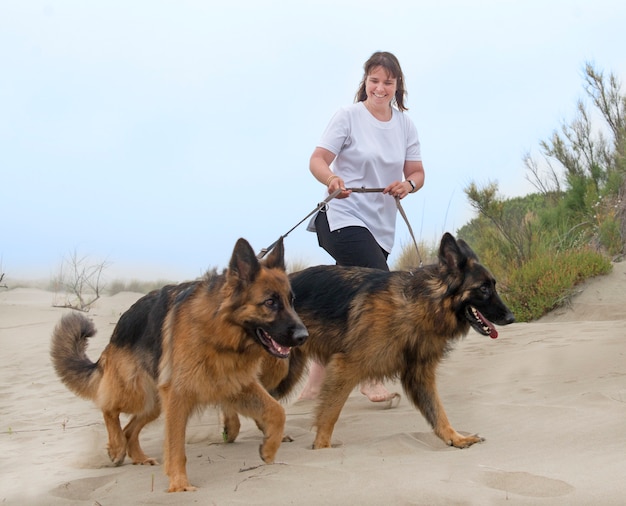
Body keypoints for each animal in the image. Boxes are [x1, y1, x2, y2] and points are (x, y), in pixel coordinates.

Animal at [50, 237, 308, 490]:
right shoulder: (178, 395)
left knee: (130, 429)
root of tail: (118, 329)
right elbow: (175, 446)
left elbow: (277, 411)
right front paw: (179, 485)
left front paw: (269, 449)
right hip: (136, 393)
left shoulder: (235, 385)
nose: (303, 337)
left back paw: (138, 456)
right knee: (108, 408)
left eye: (292, 301)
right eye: (270, 302)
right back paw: (116, 447)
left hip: (153, 403)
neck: (218, 331)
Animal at [223, 231, 512, 448]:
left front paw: (455, 438)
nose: (511, 317)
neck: (421, 302)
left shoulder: (419, 376)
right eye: (483, 289)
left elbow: (438, 411)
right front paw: (322, 448)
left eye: (494, 285)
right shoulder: (345, 367)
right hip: (279, 368)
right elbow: (329, 414)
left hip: (289, 370)